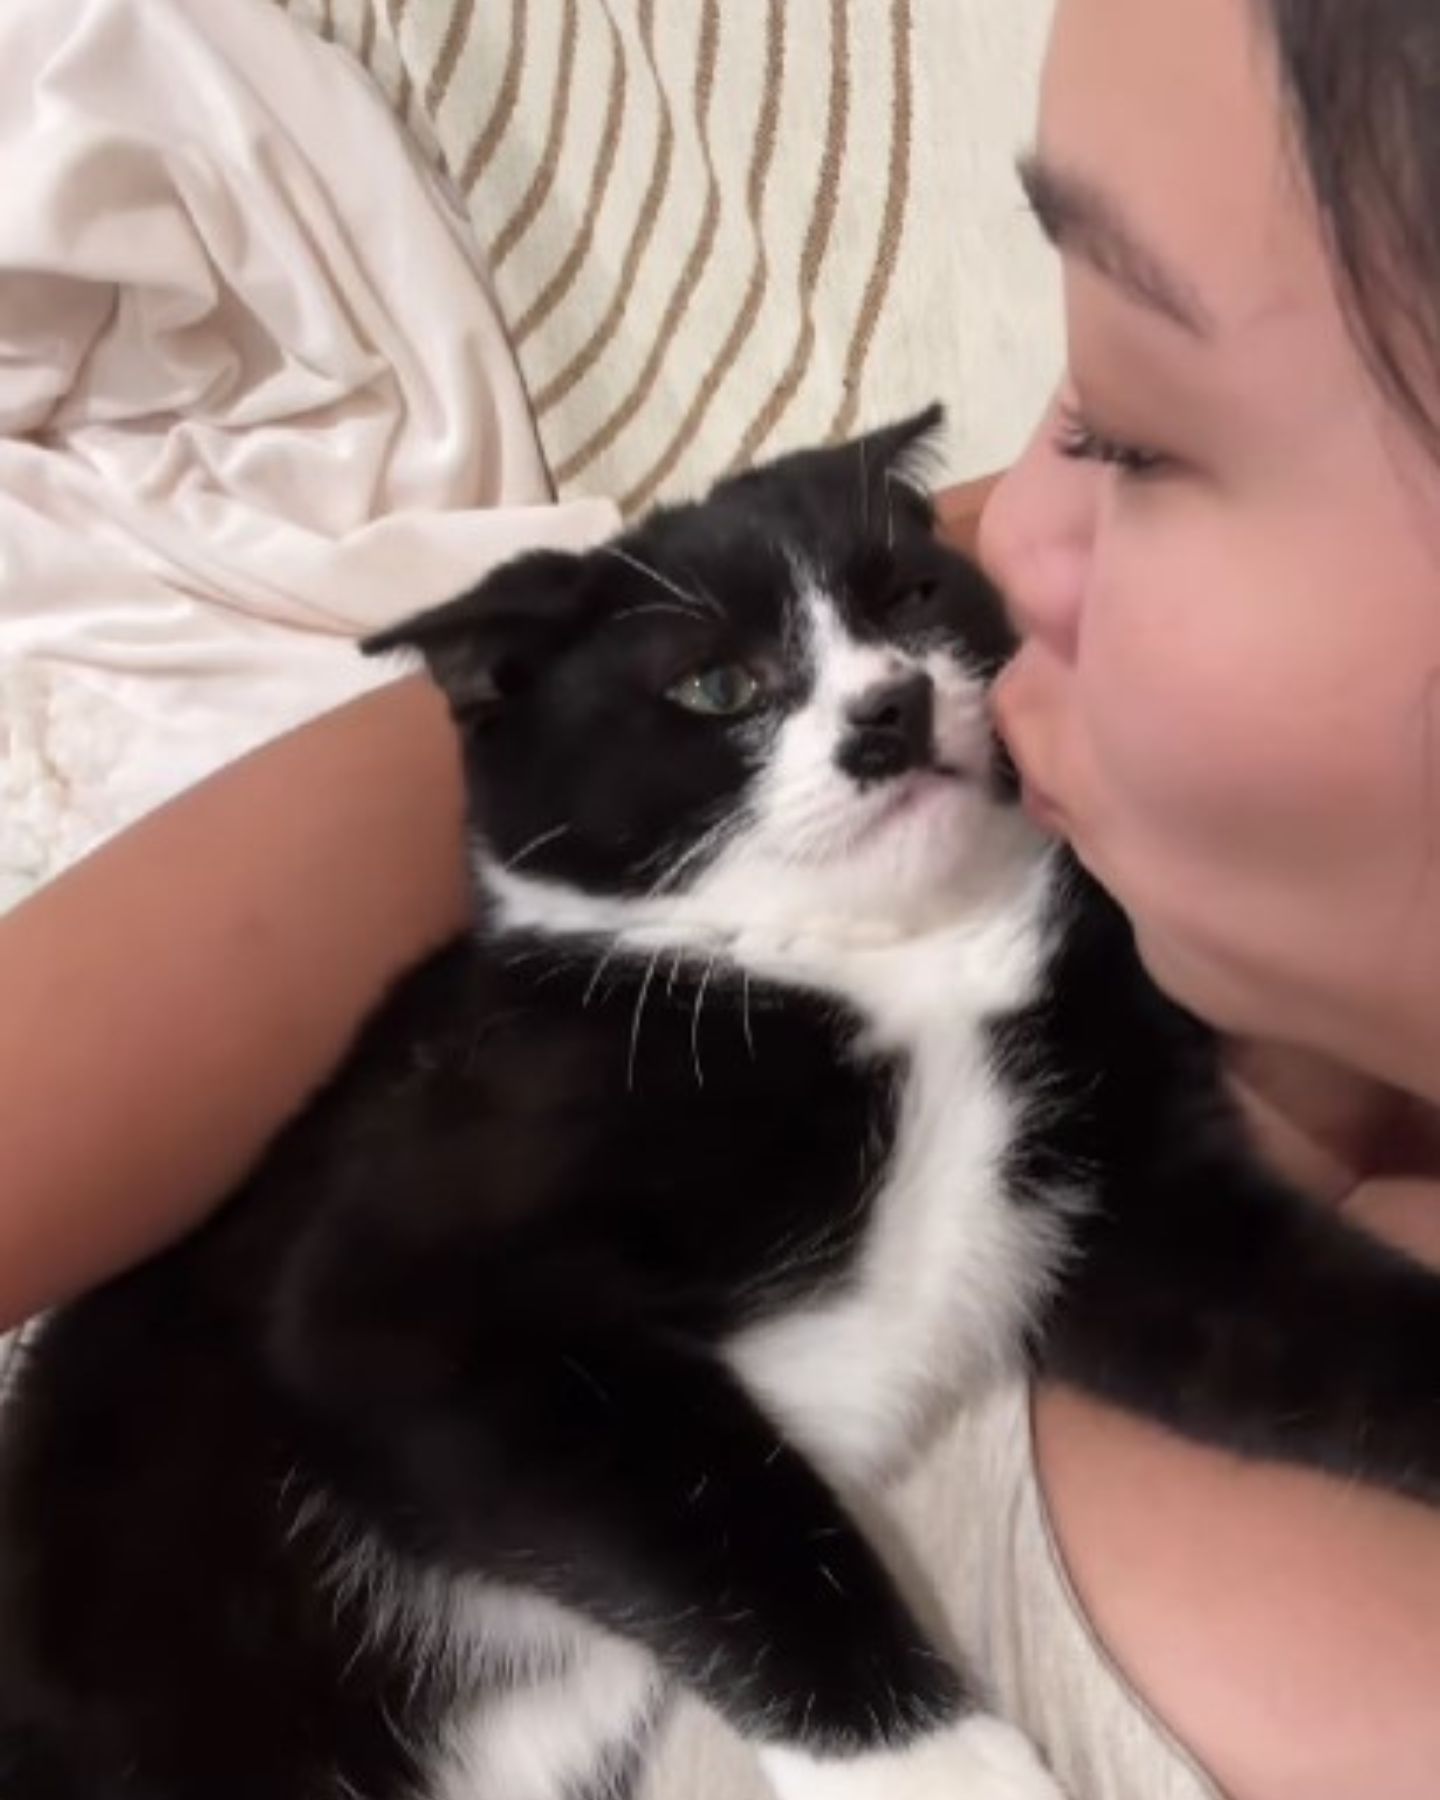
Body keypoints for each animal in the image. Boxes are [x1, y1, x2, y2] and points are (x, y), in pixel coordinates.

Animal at [2, 408, 1440, 1800]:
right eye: (715, 685)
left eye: (911, 593)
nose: (890, 709)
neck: (895, 963)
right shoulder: (396, 1291)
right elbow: (719, 1509)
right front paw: (942, 1770)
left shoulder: (1126, 1182)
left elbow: (1282, 1303)